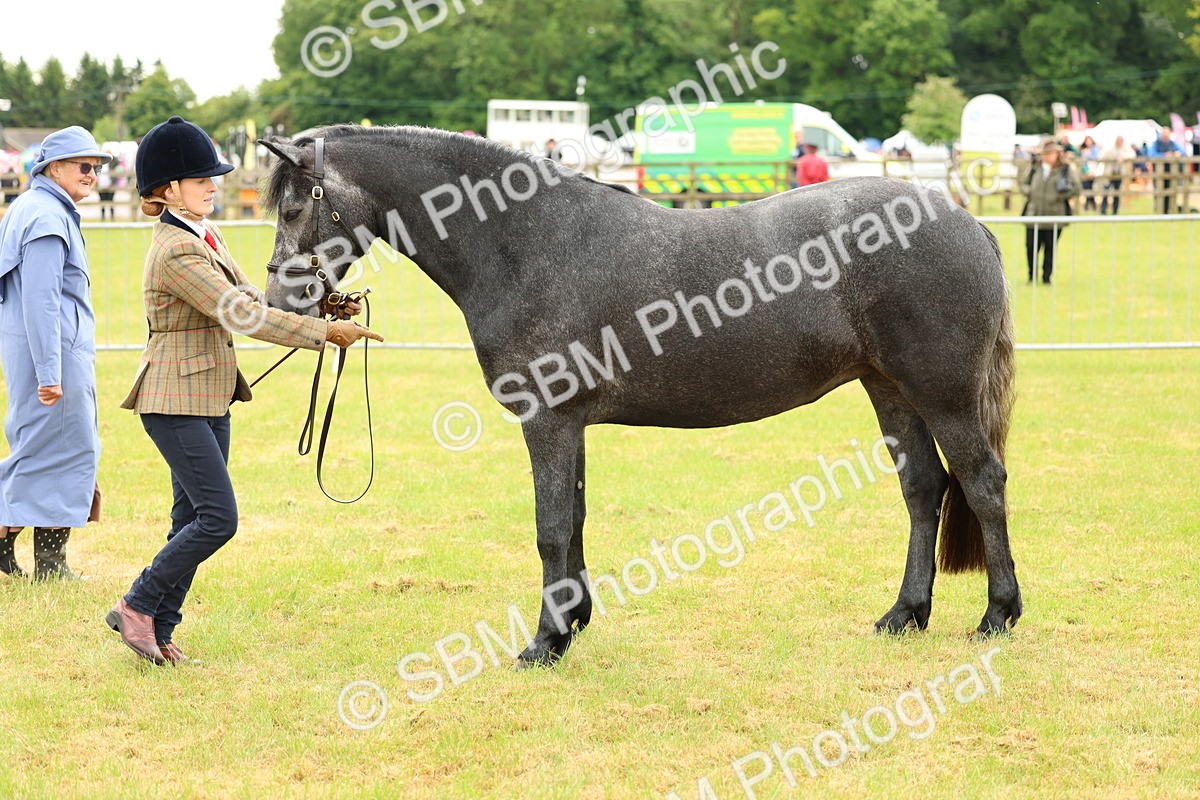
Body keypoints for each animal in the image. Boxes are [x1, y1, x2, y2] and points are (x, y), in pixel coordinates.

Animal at [257, 125, 1020, 667]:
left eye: (296, 206)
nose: (277, 301)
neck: (521, 243)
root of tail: (965, 221)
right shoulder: (572, 425)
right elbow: (575, 521)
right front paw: (572, 625)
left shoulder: (548, 420)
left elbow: (551, 528)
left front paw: (543, 644)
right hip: (890, 389)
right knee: (924, 489)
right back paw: (904, 615)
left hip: (944, 394)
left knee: (982, 482)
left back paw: (998, 616)